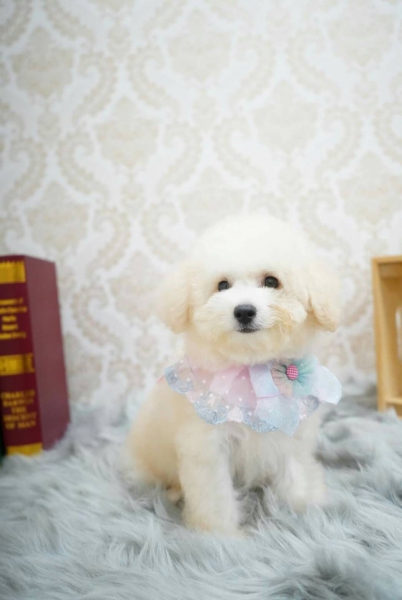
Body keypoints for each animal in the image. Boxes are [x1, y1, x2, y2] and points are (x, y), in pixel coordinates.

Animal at [125, 214, 341, 535]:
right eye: (222, 285)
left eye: (271, 281)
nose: (244, 311)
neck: (251, 368)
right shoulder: (207, 446)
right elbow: (215, 494)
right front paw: (220, 535)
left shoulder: (292, 432)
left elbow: (296, 469)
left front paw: (304, 508)